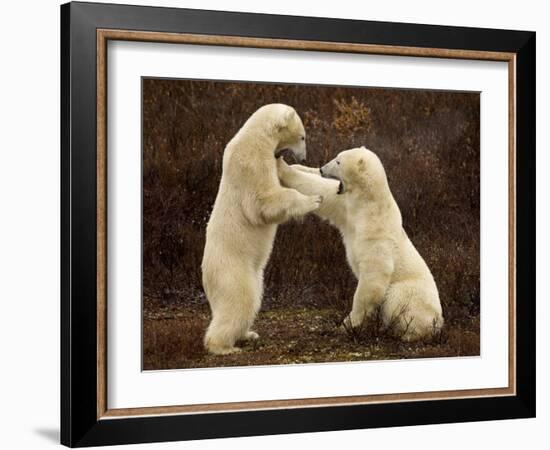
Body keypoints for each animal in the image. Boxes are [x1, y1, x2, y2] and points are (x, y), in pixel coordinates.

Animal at [203, 103, 324, 354]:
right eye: (302, 136)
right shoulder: (251, 162)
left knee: (254, 301)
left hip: (256, 276)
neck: (256, 136)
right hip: (232, 272)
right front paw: (314, 199)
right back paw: (224, 347)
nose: (305, 155)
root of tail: (206, 276)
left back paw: (249, 334)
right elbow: (263, 201)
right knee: (239, 301)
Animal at [280, 148, 444, 342]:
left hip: (414, 295)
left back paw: (401, 332)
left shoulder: (376, 235)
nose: (321, 168)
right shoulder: (346, 208)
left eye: (338, 161)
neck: (368, 205)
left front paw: (348, 324)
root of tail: (439, 323)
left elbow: (373, 279)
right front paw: (287, 165)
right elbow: (321, 190)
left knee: (396, 298)